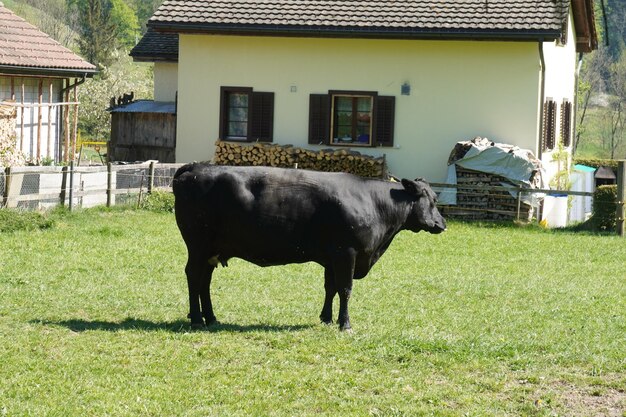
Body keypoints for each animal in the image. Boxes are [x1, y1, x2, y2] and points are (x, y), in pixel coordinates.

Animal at [171, 162, 444, 328]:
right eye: (431, 199)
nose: (442, 224)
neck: (374, 203)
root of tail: (197, 167)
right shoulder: (346, 253)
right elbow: (345, 289)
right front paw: (345, 324)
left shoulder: (332, 257)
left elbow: (330, 288)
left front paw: (326, 319)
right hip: (198, 246)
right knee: (193, 276)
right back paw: (197, 319)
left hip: (212, 250)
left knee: (204, 281)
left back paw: (210, 317)